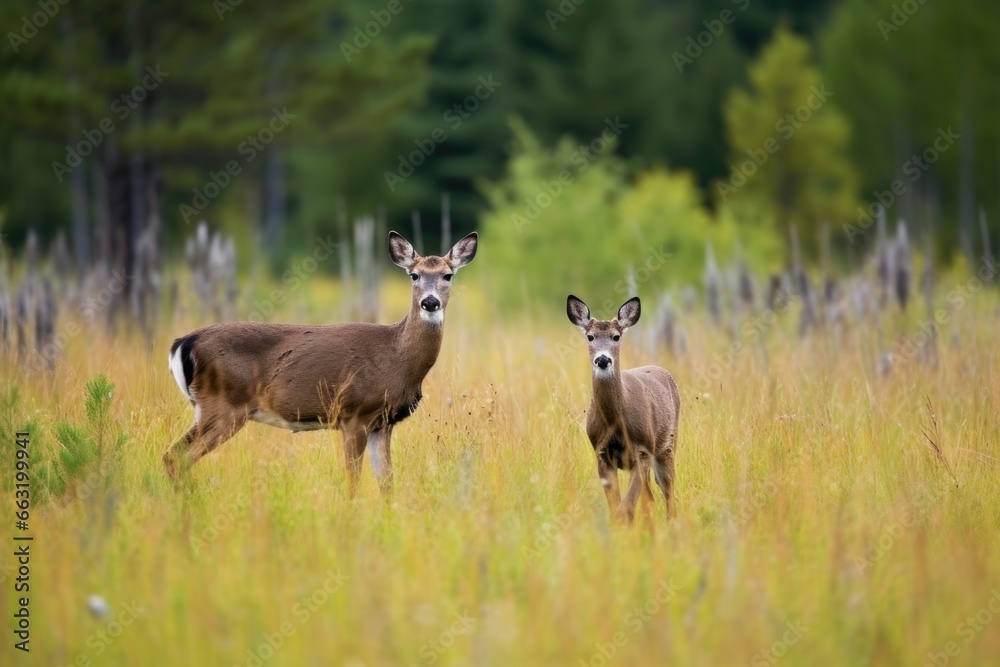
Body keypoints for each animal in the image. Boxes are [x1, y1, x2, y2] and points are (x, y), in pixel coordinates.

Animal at [164, 231, 476, 496]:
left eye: (448, 275)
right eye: (414, 275)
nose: (430, 302)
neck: (397, 358)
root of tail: (184, 342)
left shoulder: (383, 422)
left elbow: (387, 483)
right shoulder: (354, 413)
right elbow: (353, 481)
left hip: (210, 409)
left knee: (172, 455)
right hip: (224, 406)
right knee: (177, 457)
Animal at [572, 294, 680, 524]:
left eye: (616, 336)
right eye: (590, 337)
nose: (603, 359)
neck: (615, 420)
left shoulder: (642, 450)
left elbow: (627, 507)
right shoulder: (601, 454)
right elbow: (617, 508)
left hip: (667, 446)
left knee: (667, 489)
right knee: (650, 497)